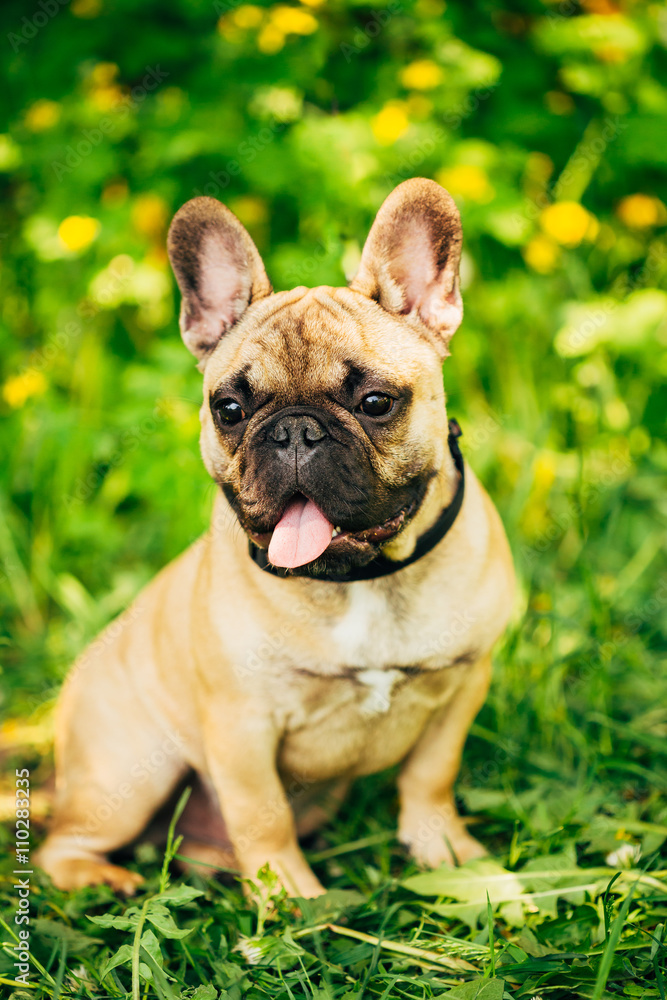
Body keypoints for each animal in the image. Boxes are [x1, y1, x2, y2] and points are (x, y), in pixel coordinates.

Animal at [36, 176, 516, 896]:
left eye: (376, 402)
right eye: (229, 409)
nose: (293, 430)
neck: (361, 581)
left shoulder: (462, 685)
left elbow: (431, 775)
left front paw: (443, 851)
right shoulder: (242, 729)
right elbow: (262, 816)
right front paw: (294, 898)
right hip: (130, 774)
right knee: (59, 846)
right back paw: (106, 880)